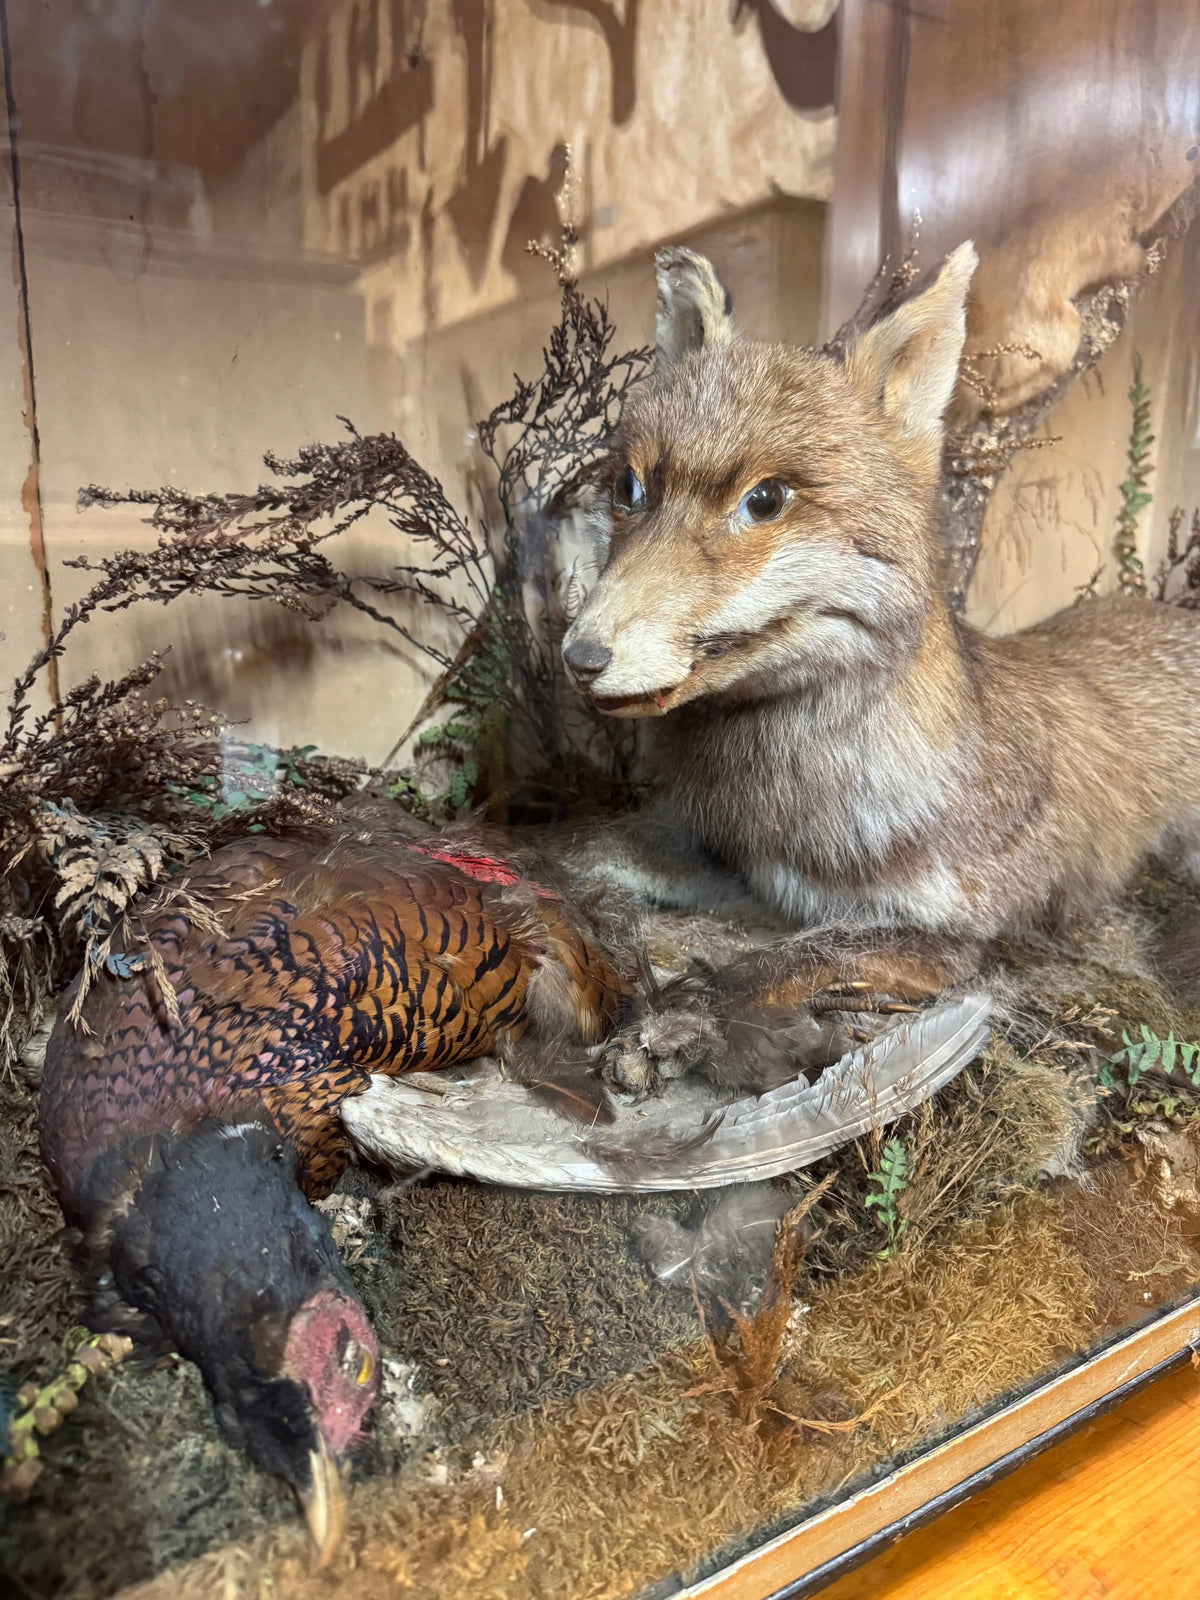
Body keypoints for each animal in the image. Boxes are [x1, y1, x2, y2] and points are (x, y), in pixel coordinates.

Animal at [560, 242, 1200, 1010]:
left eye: (764, 499)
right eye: (630, 490)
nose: (578, 657)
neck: (788, 806)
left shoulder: (951, 937)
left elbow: (759, 973)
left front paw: (679, 1011)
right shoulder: (754, 874)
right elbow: (586, 858)